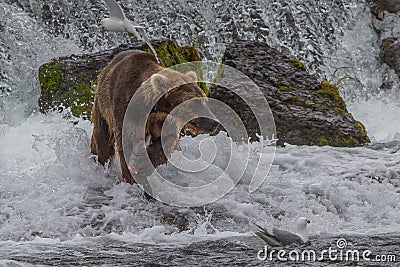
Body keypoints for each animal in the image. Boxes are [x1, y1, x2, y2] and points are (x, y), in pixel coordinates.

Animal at [90, 49, 216, 195]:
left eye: (204, 99)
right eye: (194, 102)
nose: (214, 123)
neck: (151, 108)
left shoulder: (162, 120)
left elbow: (166, 140)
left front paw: (142, 163)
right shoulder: (126, 114)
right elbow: (126, 144)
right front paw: (135, 179)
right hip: (102, 106)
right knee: (102, 142)